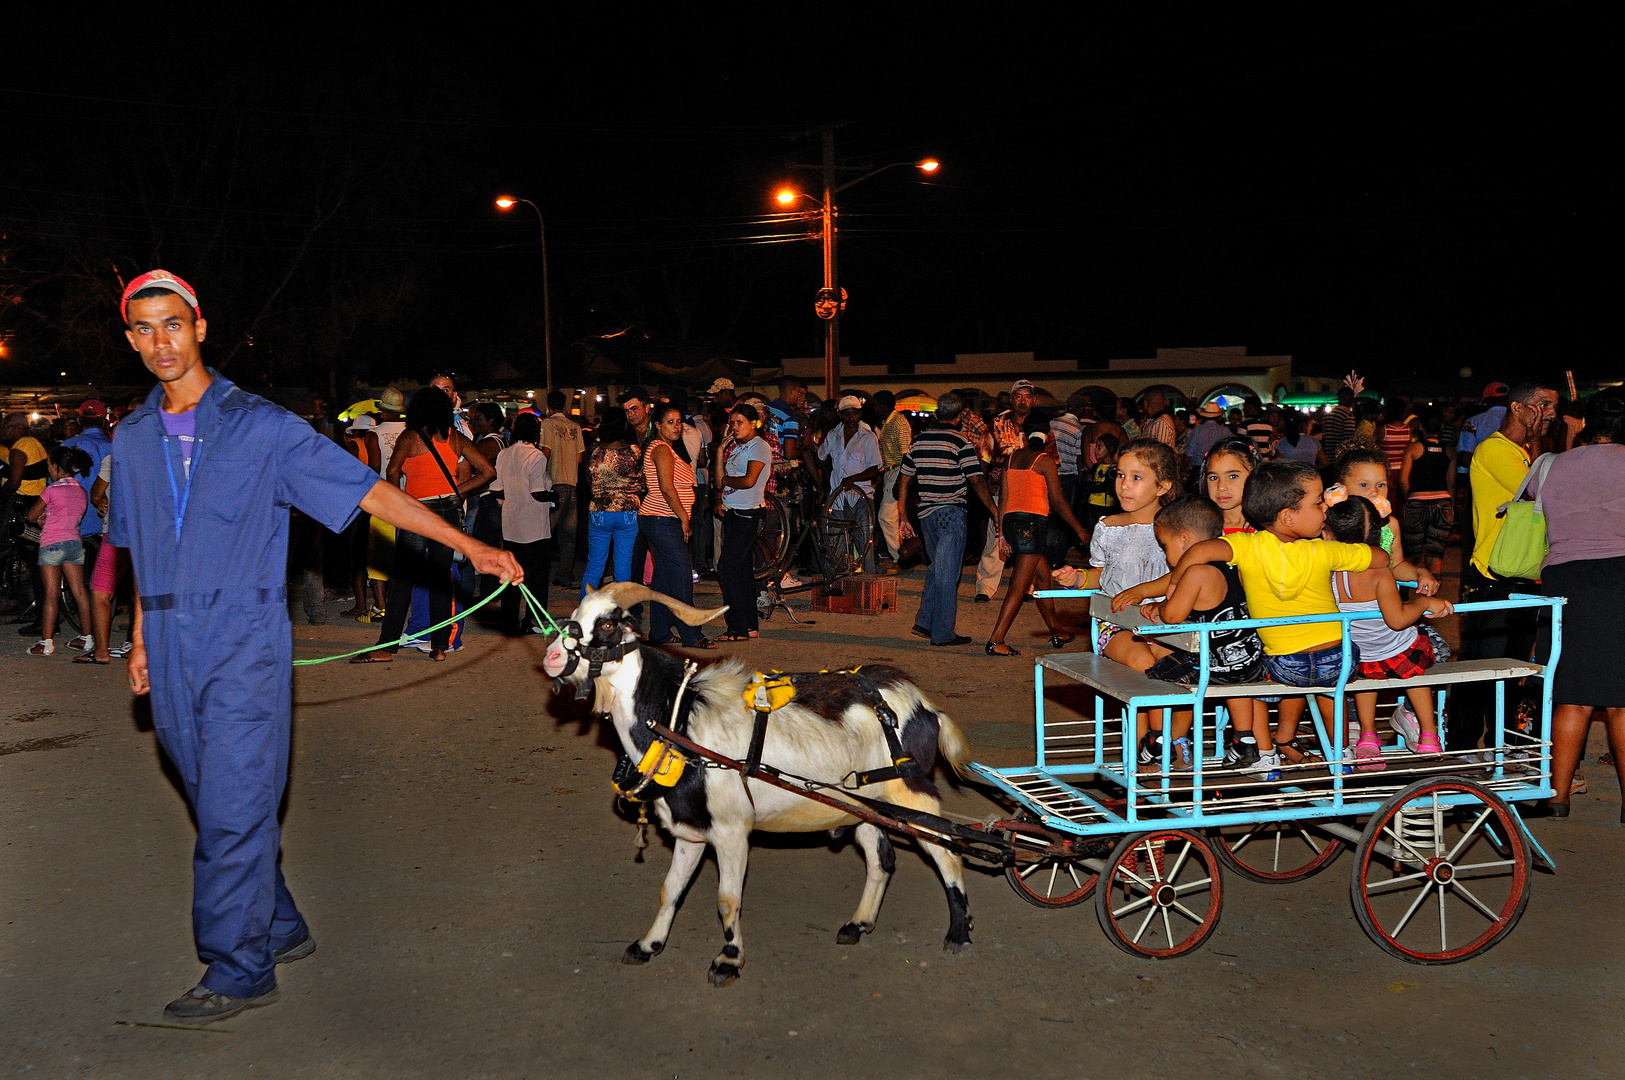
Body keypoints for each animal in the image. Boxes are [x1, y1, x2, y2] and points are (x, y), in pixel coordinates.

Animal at [542, 581, 975, 987]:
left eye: (607, 624)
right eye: (574, 616)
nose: (552, 657)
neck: (679, 718)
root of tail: (925, 706)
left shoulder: (733, 830)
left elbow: (727, 899)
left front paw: (728, 961)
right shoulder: (692, 831)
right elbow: (671, 889)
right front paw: (647, 944)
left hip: (911, 793)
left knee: (947, 851)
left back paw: (958, 933)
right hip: (866, 803)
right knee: (881, 858)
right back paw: (858, 924)